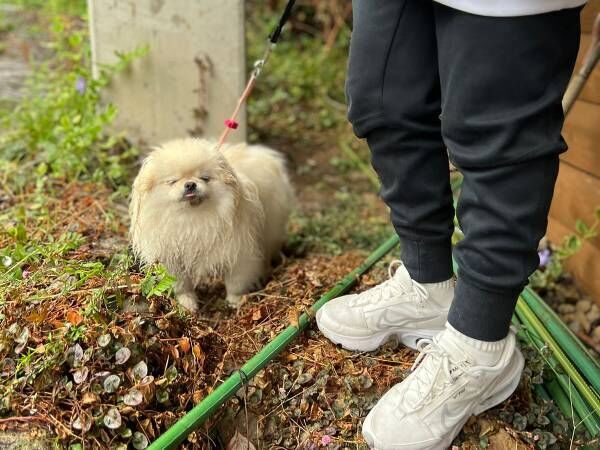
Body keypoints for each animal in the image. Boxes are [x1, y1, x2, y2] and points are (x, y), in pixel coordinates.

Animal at [130, 139, 294, 312]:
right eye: (172, 181)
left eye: (205, 178)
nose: (190, 184)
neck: (192, 217)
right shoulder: (172, 260)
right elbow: (181, 284)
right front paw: (187, 304)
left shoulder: (239, 254)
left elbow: (236, 282)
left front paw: (235, 301)